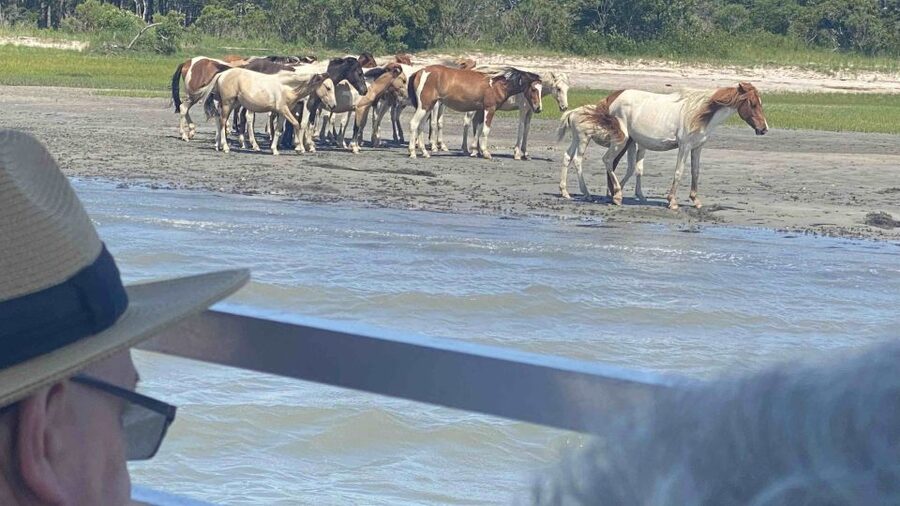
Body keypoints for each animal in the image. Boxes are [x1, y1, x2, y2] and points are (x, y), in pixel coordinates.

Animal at [199, 68, 335, 155]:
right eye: (328, 88)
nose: (333, 105)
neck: (287, 87)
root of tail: (222, 74)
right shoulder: (284, 110)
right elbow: (297, 124)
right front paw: (299, 148)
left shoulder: (282, 113)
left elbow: (278, 130)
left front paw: (274, 150)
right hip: (228, 103)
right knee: (222, 122)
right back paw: (225, 147)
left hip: (232, 104)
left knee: (218, 119)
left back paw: (217, 146)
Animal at [407, 66, 542, 159]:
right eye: (533, 89)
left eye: (541, 89)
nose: (538, 108)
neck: (496, 85)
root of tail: (419, 72)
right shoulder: (490, 109)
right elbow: (486, 130)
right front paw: (486, 152)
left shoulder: (481, 110)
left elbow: (479, 129)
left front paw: (476, 150)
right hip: (424, 106)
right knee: (413, 124)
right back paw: (412, 152)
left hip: (428, 107)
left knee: (420, 126)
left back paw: (424, 153)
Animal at [604, 82, 768, 208]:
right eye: (753, 104)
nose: (764, 129)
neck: (699, 114)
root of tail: (613, 97)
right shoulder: (684, 147)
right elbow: (679, 172)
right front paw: (672, 201)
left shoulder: (697, 147)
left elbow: (695, 171)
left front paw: (696, 200)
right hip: (621, 141)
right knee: (608, 160)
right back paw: (616, 195)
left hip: (628, 142)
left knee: (620, 165)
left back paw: (615, 194)